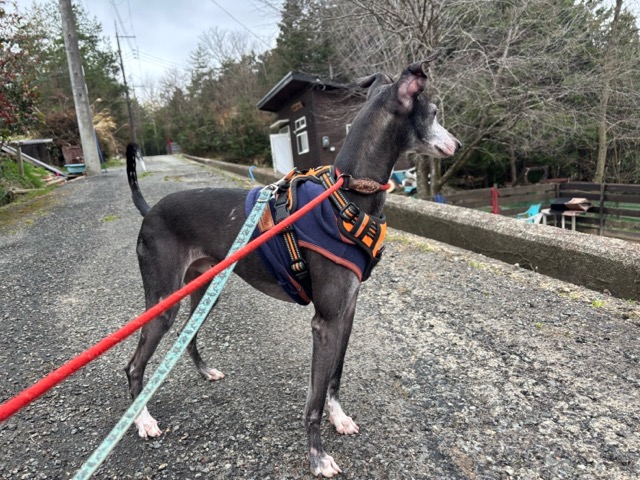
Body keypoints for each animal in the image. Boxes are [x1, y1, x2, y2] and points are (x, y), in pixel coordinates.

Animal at [125, 54, 461, 477]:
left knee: (188, 334)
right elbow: (312, 402)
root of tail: (149, 211)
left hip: (203, 290)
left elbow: (335, 378)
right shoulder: (325, 322)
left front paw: (339, 418)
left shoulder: (347, 312)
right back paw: (142, 420)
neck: (347, 195)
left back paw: (204, 372)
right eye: (433, 113)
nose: (458, 144)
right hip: (162, 301)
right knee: (133, 365)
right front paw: (317, 456)